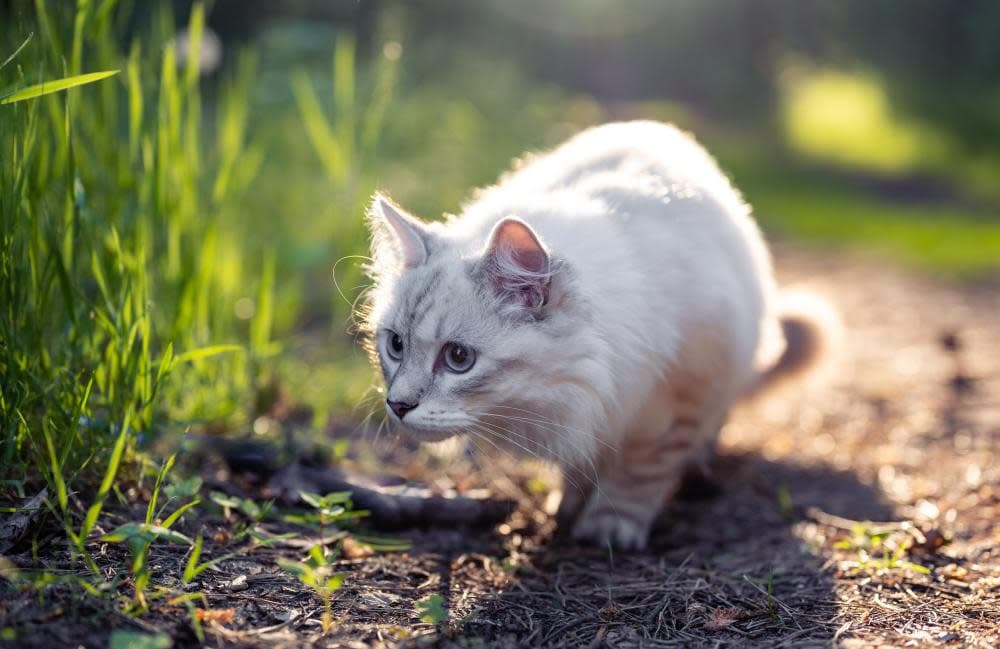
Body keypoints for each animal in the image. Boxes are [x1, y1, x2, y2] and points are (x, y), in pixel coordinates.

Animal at [364, 120, 832, 548]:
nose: (398, 405)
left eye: (458, 358)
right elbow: (581, 466)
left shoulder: (674, 401)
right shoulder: (586, 412)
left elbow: (638, 475)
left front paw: (609, 528)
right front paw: (567, 507)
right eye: (396, 346)